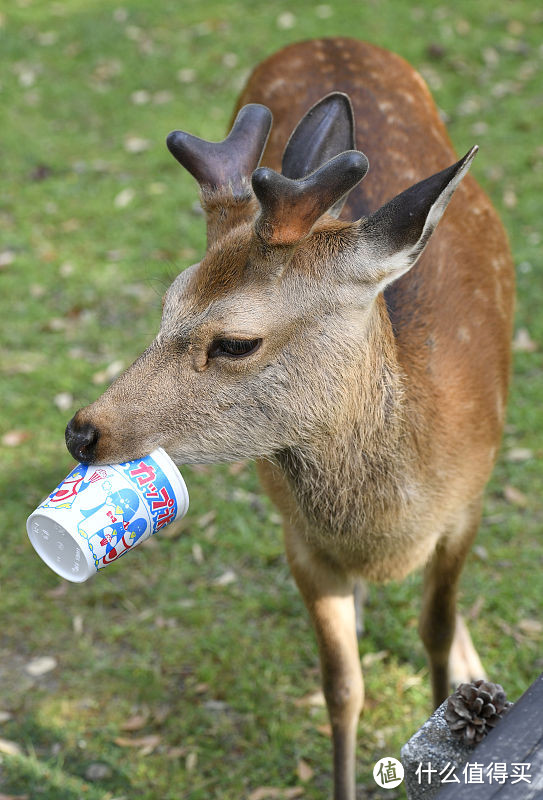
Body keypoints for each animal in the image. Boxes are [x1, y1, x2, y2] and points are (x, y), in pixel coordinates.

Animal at [63, 36, 516, 800]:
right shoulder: (298, 538)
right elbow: (342, 687)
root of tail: (328, 38)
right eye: (166, 303)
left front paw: (458, 705)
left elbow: (432, 632)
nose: (82, 431)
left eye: (236, 342)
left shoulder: (468, 507)